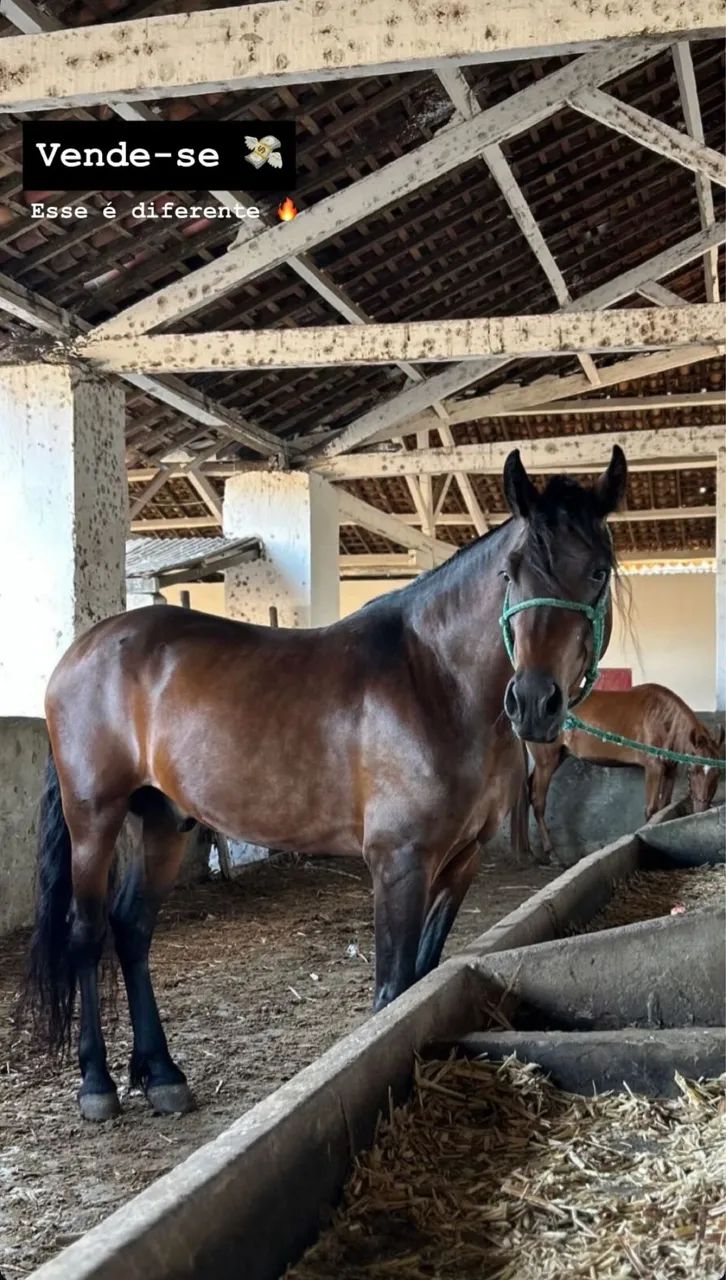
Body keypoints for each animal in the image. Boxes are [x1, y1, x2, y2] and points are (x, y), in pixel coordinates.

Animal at [26, 445, 627, 1121]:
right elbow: (392, 991)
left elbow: (420, 980)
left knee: (131, 930)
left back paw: (161, 1075)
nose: (534, 703)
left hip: (164, 822)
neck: (436, 681)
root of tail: (81, 651)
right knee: (87, 933)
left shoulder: (461, 862)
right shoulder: (399, 862)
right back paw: (97, 1084)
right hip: (93, 820)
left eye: (598, 572)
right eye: (511, 574)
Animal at [528, 684, 725, 862]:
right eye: (694, 770)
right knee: (538, 802)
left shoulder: (670, 770)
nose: (700, 810)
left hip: (556, 758)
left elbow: (664, 806)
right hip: (546, 762)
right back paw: (552, 854)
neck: (664, 720)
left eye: (717, 773)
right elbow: (651, 809)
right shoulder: (653, 768)